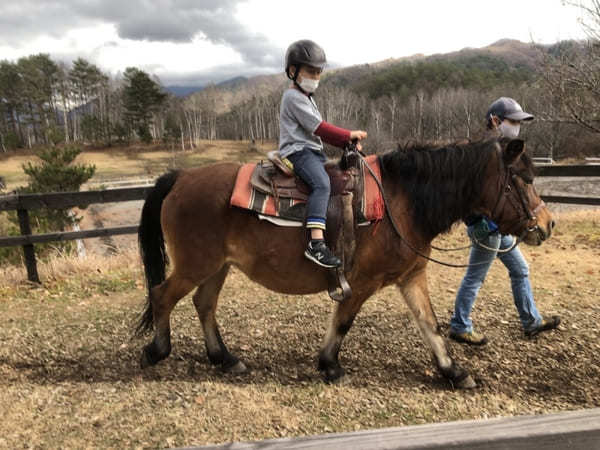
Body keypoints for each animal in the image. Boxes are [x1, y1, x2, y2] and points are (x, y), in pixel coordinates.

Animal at [135, 137, 552, 386]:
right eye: (525, 178)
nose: (547, 224)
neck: (401, 201)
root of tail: (180, 177)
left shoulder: (411, 276)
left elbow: (429, 324)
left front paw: (454, 371)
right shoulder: (362, 281)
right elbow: (344, 320)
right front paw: (330, 364)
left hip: (217, 266)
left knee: (203, 304)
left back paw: (224, 358)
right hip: (196, 263)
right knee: (162, 295)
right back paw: (157, 351)